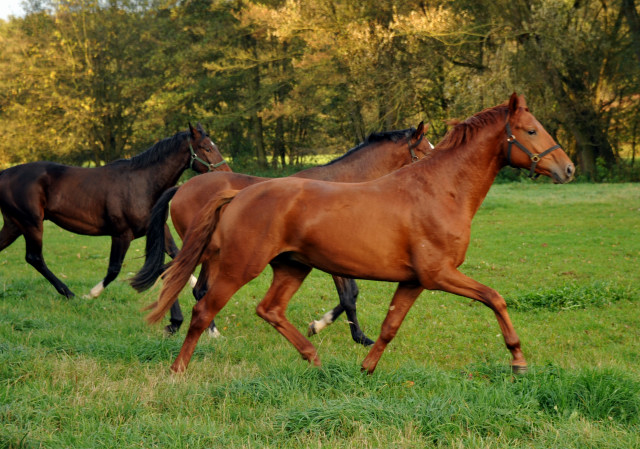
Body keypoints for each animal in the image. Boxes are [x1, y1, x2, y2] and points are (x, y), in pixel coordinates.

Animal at [0, 122, 230, 298]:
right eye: (207, 148)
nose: (227, 173)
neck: (142, 184)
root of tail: (5, 174)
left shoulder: (158, 228)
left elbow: (177, 255)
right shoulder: (122, 234)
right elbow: (113, 269)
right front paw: (90, 295)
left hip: (14, 225)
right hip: (32, 224)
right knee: (35, 258)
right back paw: (68, 292)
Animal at [130, 121, 432, 344]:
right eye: (427, 151)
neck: (341, 186)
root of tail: (182, 187)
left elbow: (351, 294)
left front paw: (319, 325)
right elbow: (349, 296)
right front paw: (356, 336)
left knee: (176, 276)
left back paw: (179, 325)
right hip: (206, 250)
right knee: (186, 281)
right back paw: (207, 331)